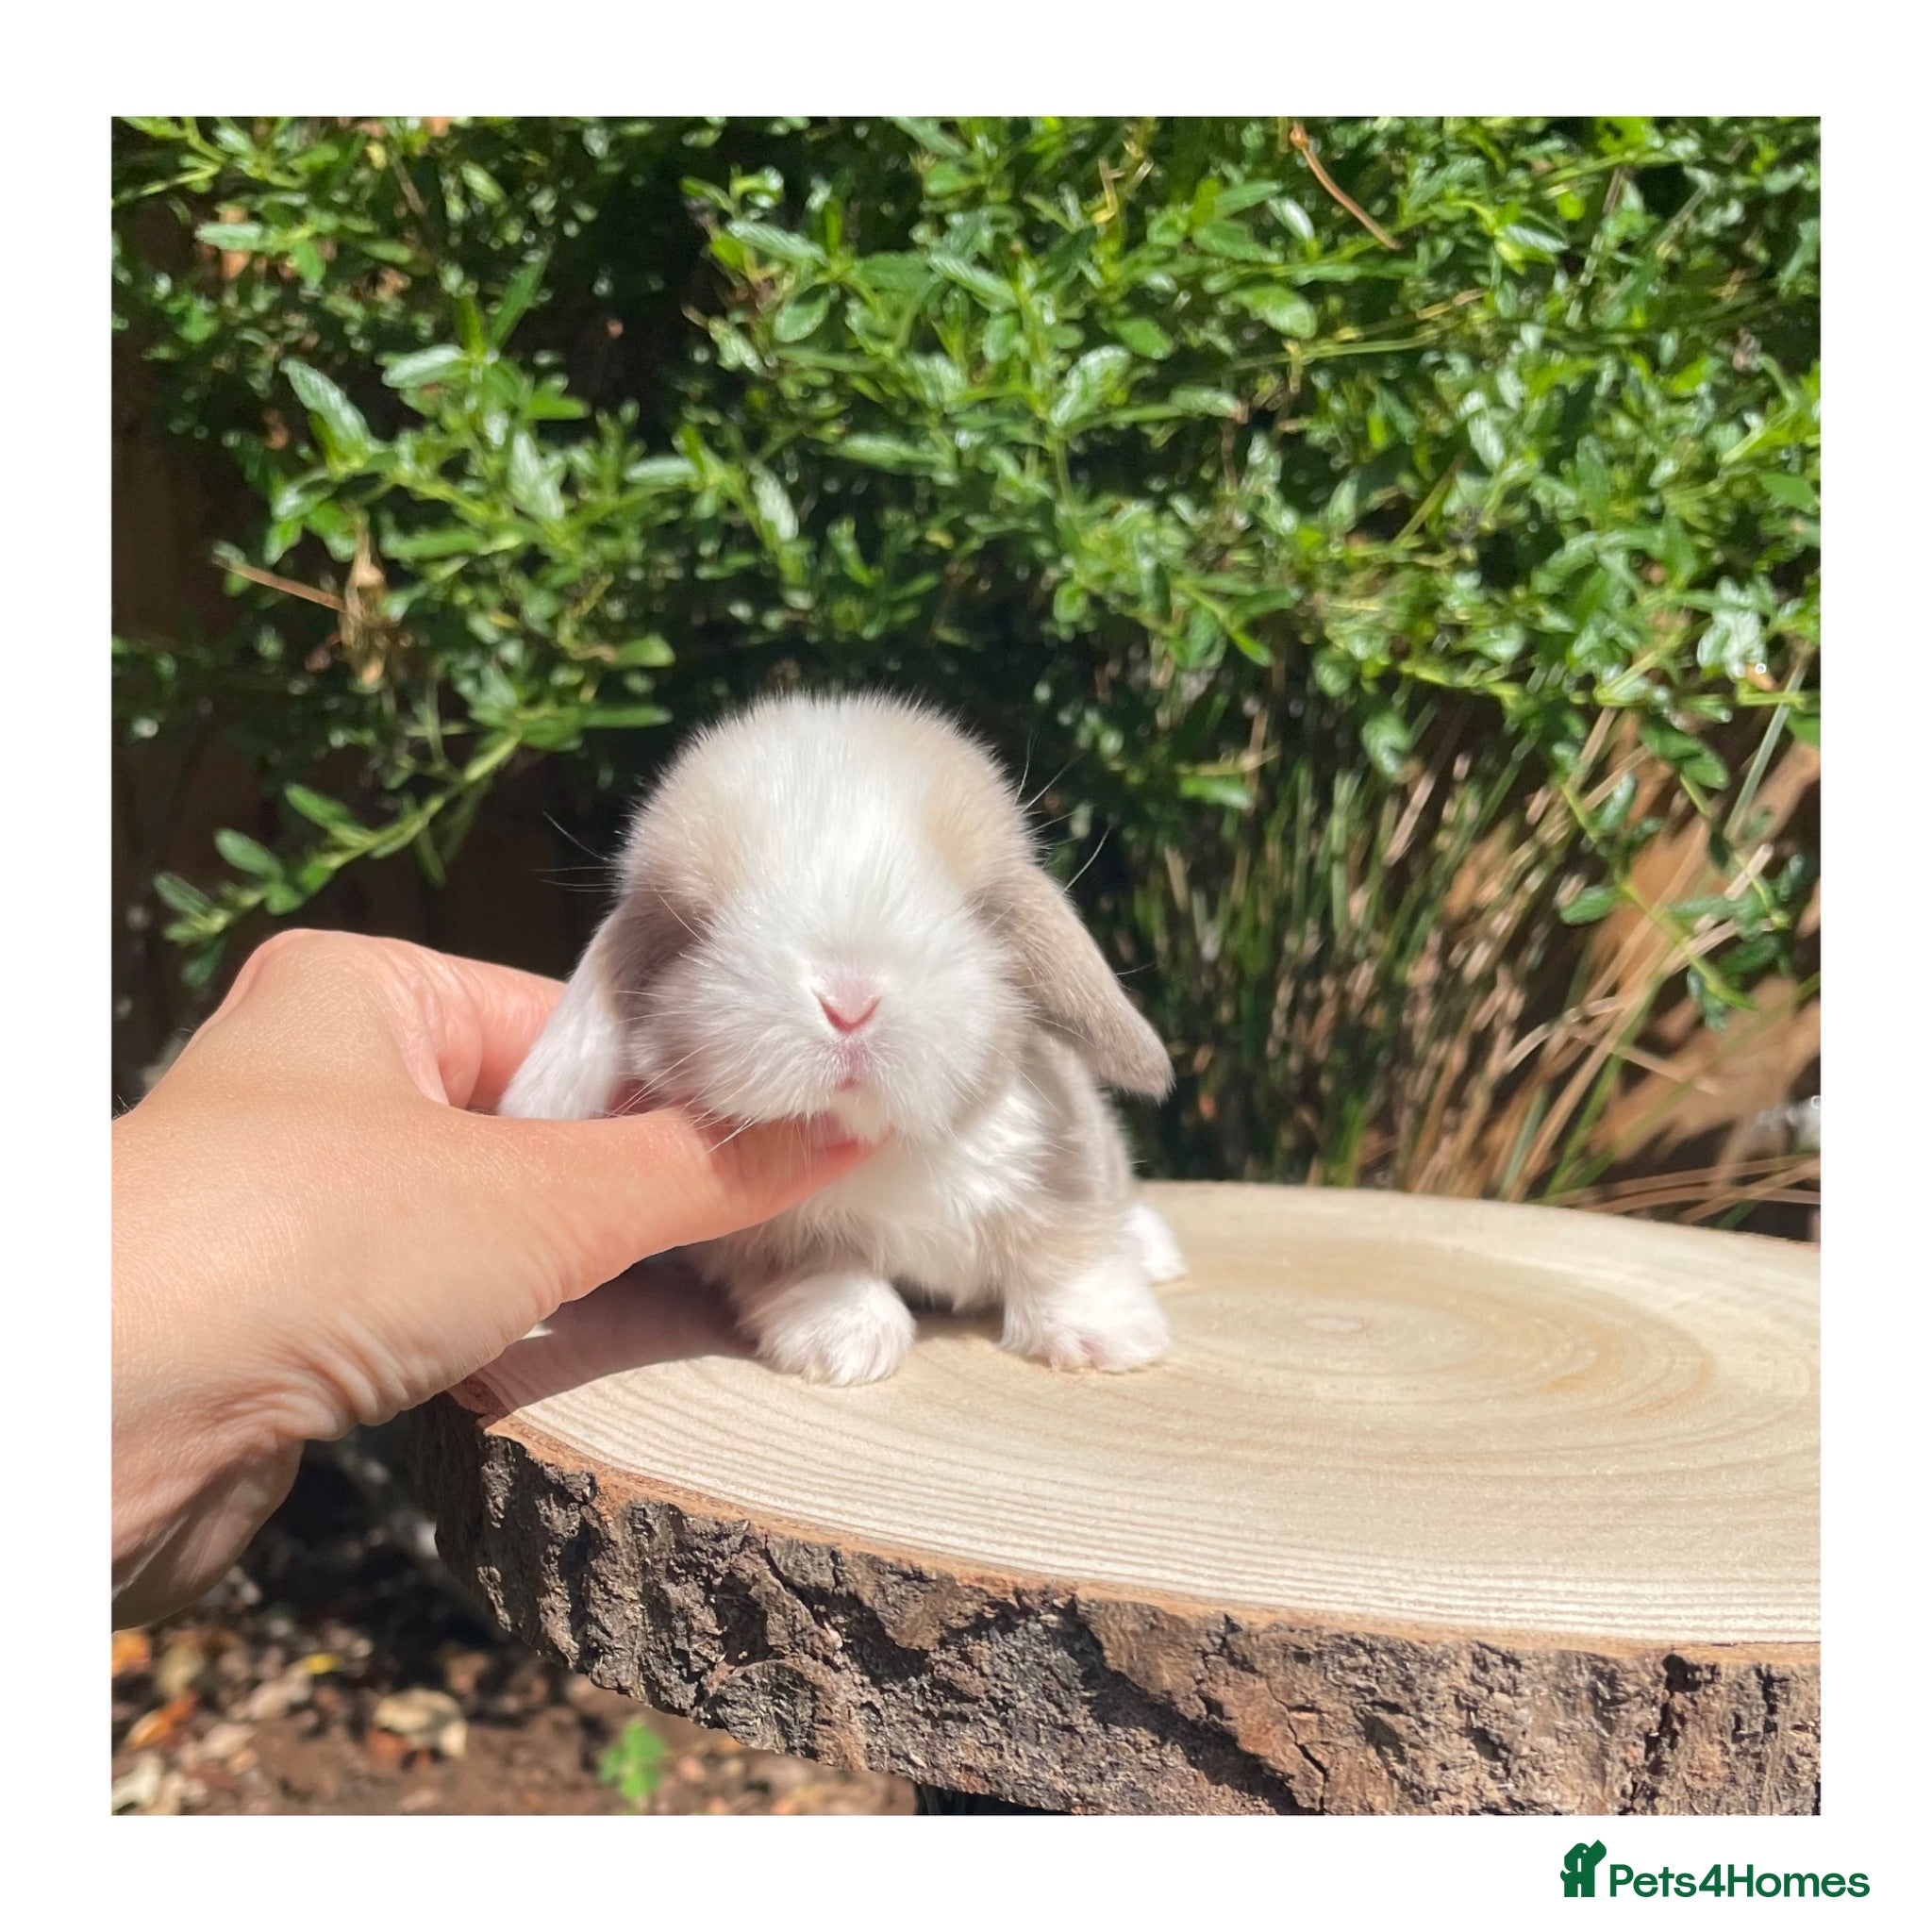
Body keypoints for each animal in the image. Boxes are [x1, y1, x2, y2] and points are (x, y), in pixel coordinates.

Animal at [498, 689, 1187, 1384]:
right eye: (697, 926)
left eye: (977, 911)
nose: (849, 1004)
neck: (895, 1140)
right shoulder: (771, 1240)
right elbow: (824, 1273)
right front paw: (842, 1346)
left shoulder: (1071, 1165)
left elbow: (1068, 1246)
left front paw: (1104, 1338)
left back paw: (1157, 1251)